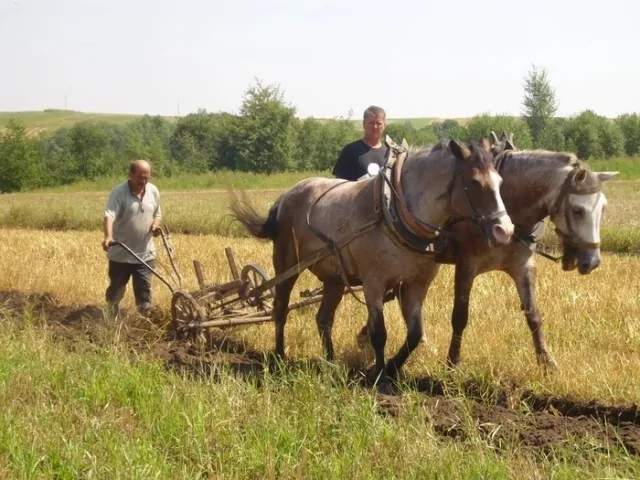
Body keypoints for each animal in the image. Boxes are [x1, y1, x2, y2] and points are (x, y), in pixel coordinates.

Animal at [232, 140, 512, 382]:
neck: (395, 212)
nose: (505, 230)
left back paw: (331, 362)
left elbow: (415, 334)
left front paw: (393, 368)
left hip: (335, 279)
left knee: (323, 319)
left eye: (500, 181)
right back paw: (279, 356)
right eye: (474, 182)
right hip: (287, 263)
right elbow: (379, 333)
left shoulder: (416, 285)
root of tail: (285, 197)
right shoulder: (374, 284)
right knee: (280, 309)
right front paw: (379, 375)